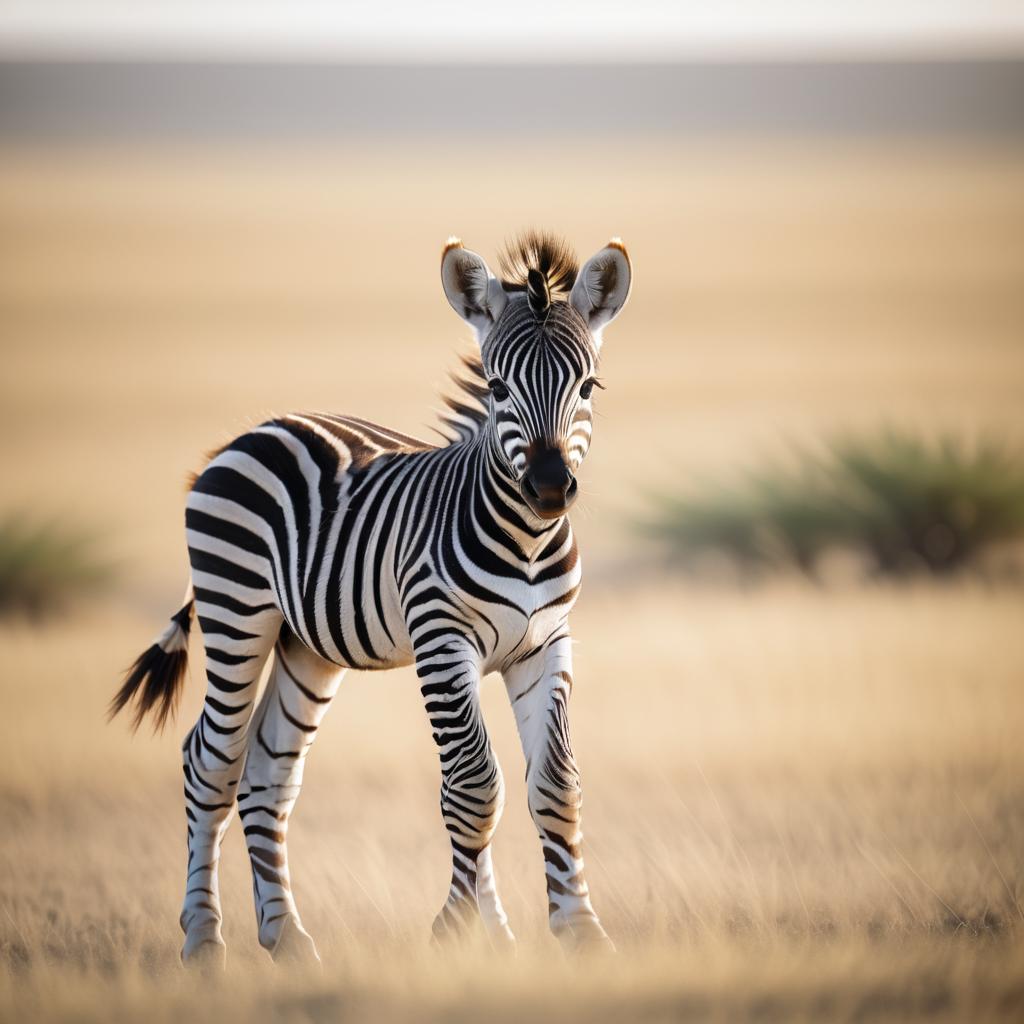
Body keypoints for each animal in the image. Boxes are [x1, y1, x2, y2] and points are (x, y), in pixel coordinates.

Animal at [108, 230, 626, 966]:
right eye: (497, 387)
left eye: (588, 385)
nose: (552, 488)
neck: (525, 538)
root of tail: (250, 432)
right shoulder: (442, 641)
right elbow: (473, 786)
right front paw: (457, 927)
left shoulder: (544, 645)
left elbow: (554, 783)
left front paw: (575, 928)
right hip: (237, 614)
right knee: (209, 762)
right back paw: (204, 939)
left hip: (306, 649)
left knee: (267, 772)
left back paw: (286, 936)